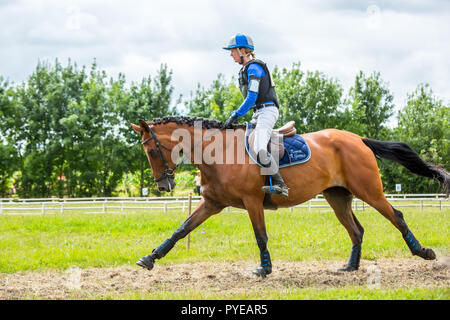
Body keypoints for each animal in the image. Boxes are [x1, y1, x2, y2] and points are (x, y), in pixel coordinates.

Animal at [130, 115, 446, 278]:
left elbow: (260, 236)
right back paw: (350, 266)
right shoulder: (212, 203)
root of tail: (358, 139)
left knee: (396, 216)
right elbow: (181, 229)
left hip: (369, 191)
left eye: (152, 150)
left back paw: (423, 252)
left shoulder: (252, 202)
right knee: (356, 230)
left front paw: (265, 269)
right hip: (337, 197)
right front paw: (150, 258)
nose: (163, 186)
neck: (219, 154)